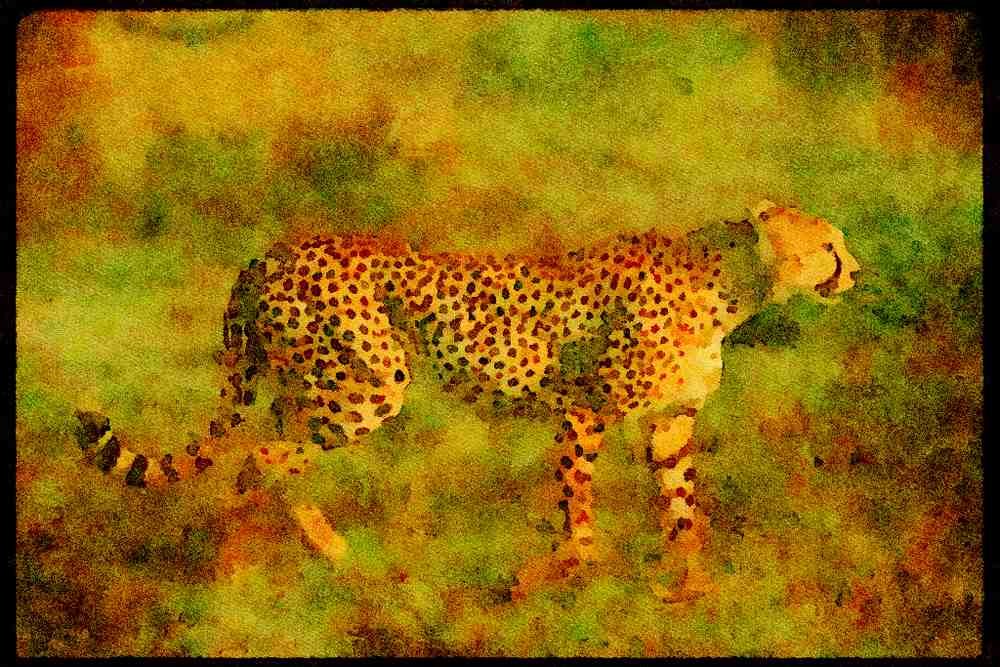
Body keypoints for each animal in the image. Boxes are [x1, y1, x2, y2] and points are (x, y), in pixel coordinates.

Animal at [74, 200, 860, 601]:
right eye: (827, 245)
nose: (856, 270)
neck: (736, 285)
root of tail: (273, 249)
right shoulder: (582, 412)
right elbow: (580, 523)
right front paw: (535, 579)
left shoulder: (669, 424)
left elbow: (684, 513)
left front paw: (693, 590)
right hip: (369, 386)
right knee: (260, 459)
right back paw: (253, 563)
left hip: (311, 389)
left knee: (267, 454)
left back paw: (295, 554)